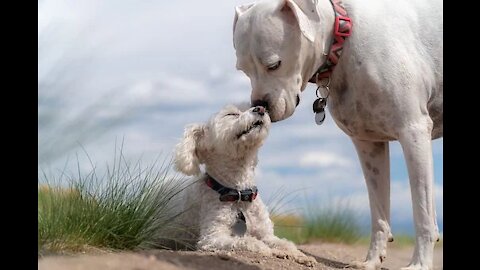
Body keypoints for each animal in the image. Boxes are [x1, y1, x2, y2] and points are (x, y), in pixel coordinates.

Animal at [172, 103, 316, 266]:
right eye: (231, 114)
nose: (261, 108)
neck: (240, 195)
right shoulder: (212, 237)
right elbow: (248, 241)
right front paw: (269, 250)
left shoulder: (266, 234)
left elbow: (285, 243)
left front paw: (301, 256)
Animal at [232, 0, 442, 270]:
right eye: (243, 70)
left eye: (274, 64)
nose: (260, 105)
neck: (343, 39)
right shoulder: (369, 145)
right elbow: (379, 212)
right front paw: (371, 260)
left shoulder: (413, 132)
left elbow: (423, 212)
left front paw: (420, 264)